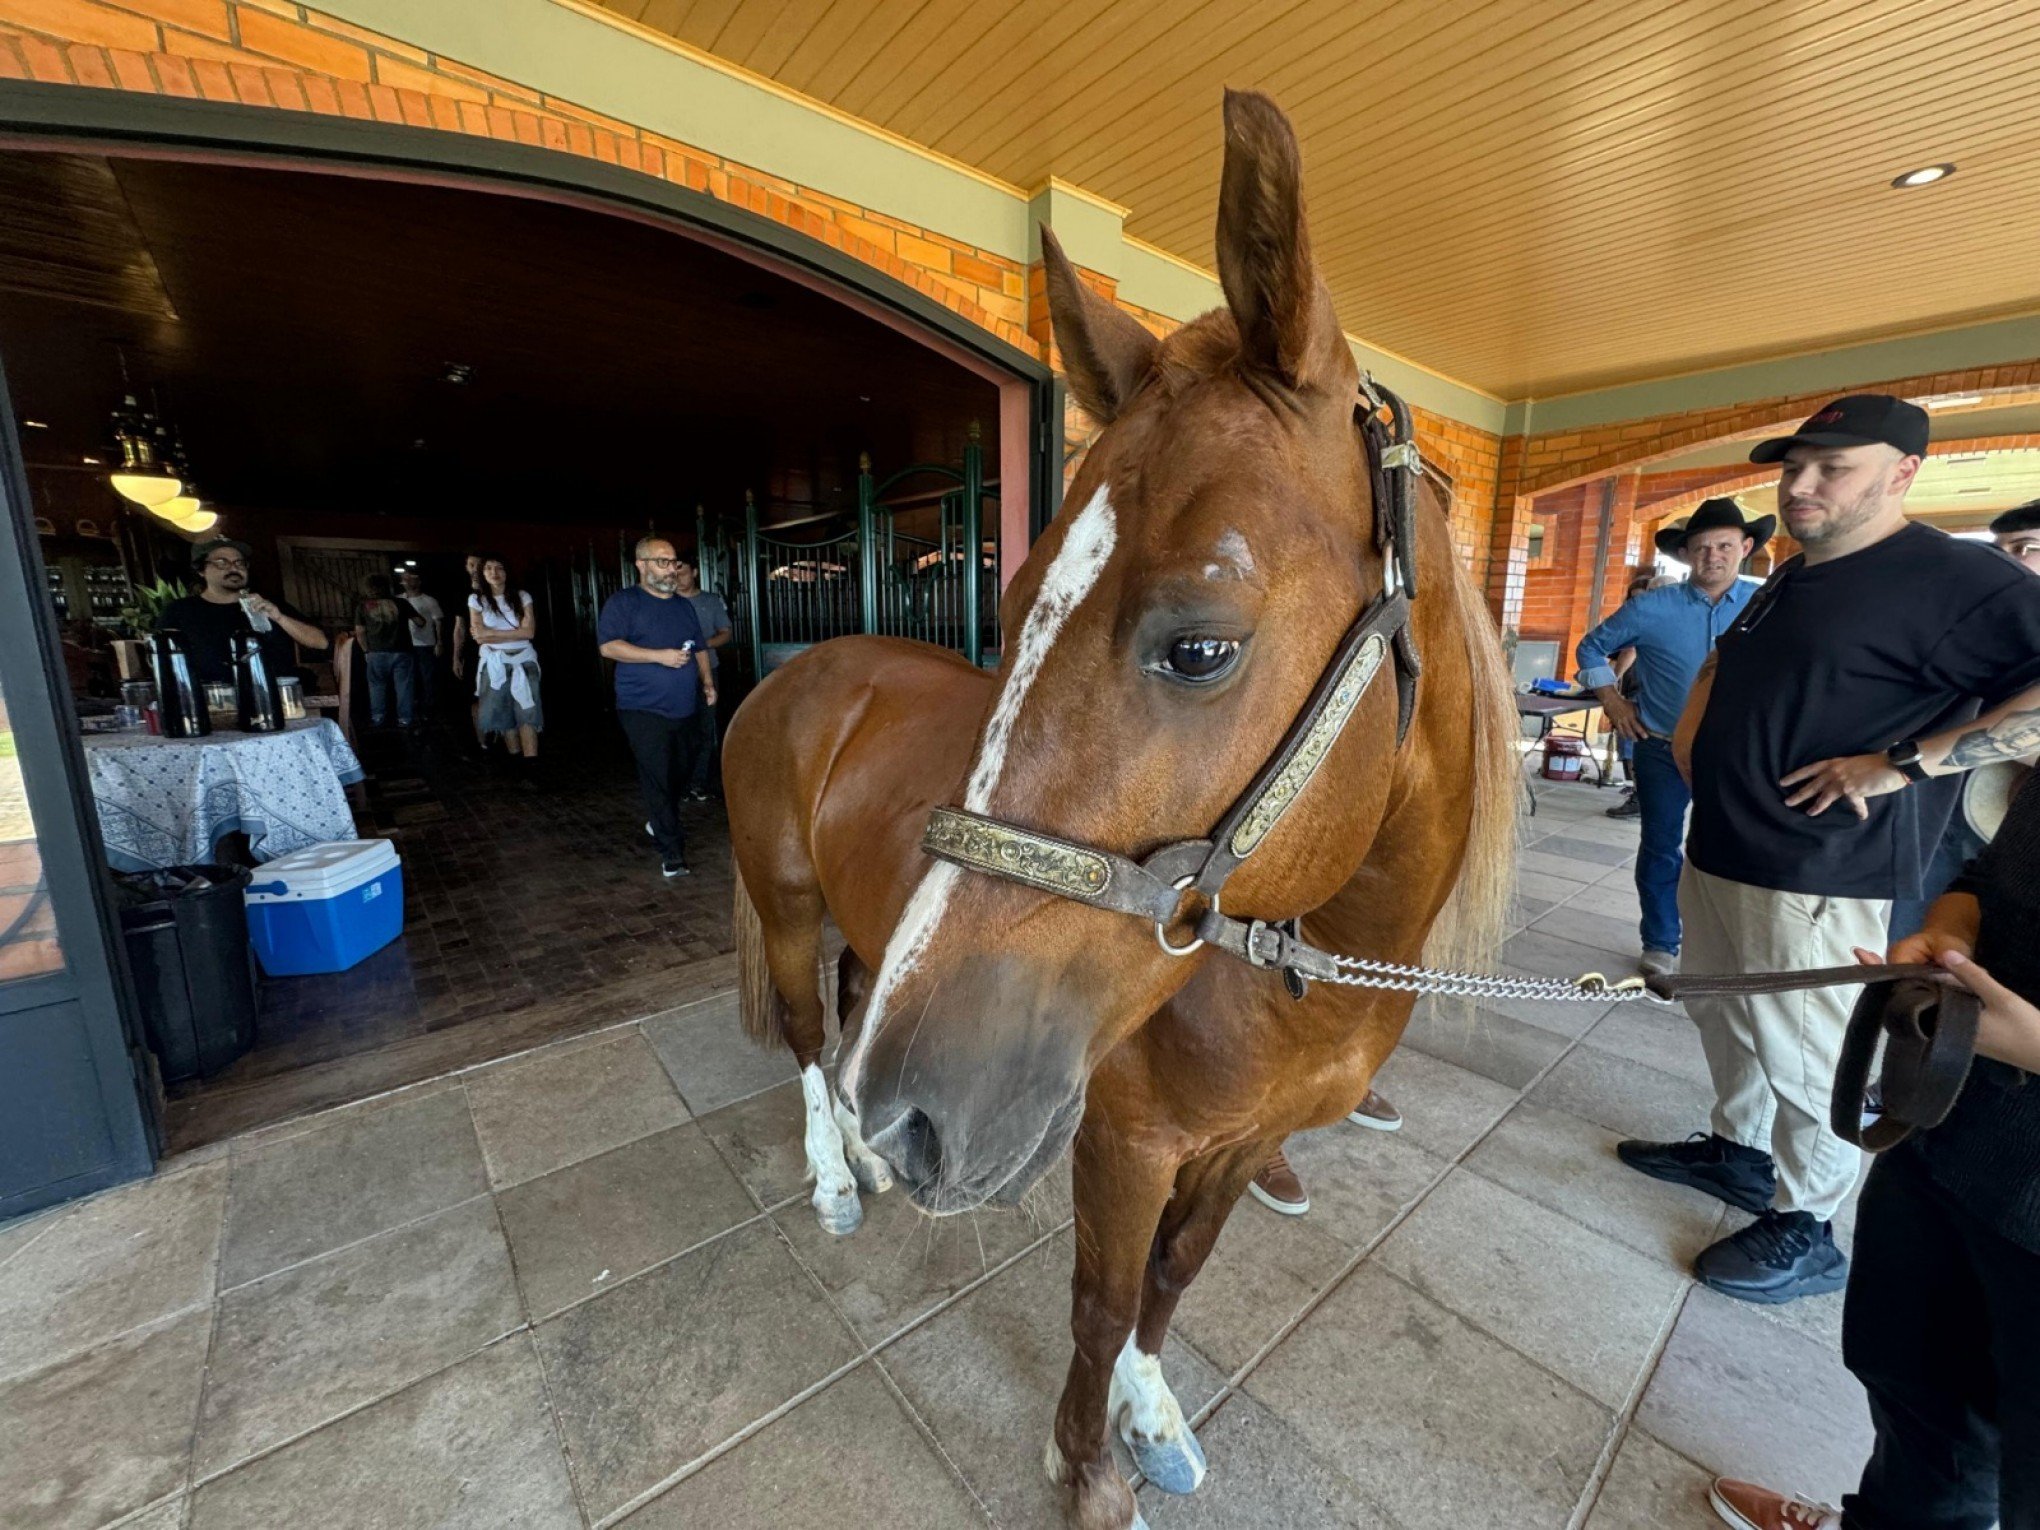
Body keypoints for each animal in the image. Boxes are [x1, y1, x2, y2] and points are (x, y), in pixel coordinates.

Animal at [730, 95, 1517, 1530]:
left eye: (1200, 646)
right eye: (1009, 600)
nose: (920, 1115)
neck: (1302, 974)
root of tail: (806, 668)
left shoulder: (1237, 1147)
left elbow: (1174, 1277)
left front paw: (1152, 1416)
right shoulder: (1125, 1137)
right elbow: (1100, 1302)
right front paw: (1089, 1465)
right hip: (787, 907)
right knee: (816, 1040)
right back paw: (836, 1170)